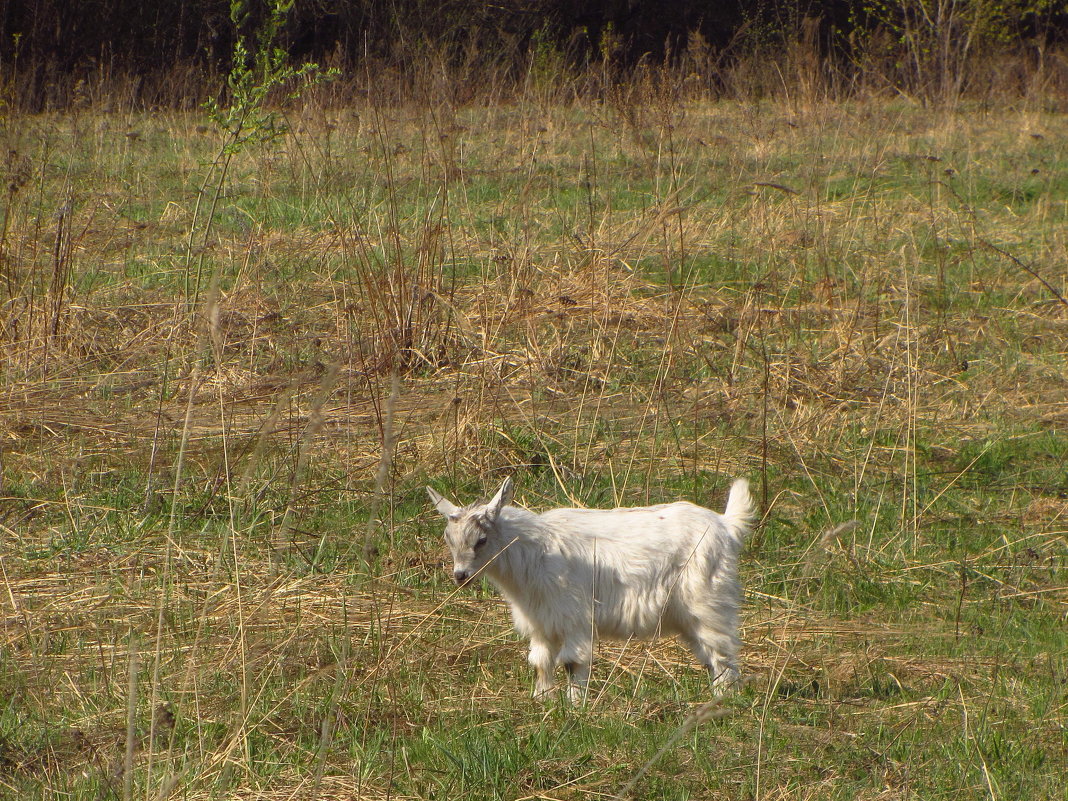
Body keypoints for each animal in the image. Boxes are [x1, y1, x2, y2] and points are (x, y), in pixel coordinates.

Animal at [425, 476, 751, 700]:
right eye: (448, 539)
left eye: (480, 540)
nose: (460, 575)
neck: (533, 552)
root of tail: (724, 524)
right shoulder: (541, 621)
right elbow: (540, 662)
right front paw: (542, 700)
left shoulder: (574, 617)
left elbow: (572, 662)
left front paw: (574, 707)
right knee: (709, 654)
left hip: (708, 600)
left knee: (721, 651)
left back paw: (722, 699)